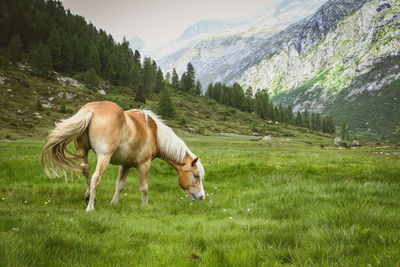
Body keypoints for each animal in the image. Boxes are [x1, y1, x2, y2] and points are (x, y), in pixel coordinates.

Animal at [41, 100, 206, 211]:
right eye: (196, 176)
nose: (202, 197)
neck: (154, 133)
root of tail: (93, 109)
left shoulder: (125, 164)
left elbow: (119, 185)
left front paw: (113, 203)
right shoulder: (144, 165)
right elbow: (144, 188)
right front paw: (145, 206)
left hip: (83, 152)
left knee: (86, 171)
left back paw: (89, 198)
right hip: (104, 157)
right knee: (95, 177)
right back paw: (90, 208)